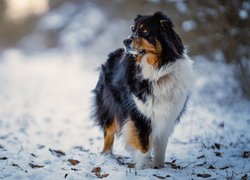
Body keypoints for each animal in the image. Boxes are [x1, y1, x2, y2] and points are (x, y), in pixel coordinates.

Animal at [92, 11, 193, 169]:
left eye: (145, 32)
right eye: (132, 29)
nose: (125, 41)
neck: (157, 72)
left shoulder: (168, 117)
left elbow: (161, 147)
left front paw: (158, 168)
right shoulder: (139, 114)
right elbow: (144, 145)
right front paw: (143, 168)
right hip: (109, 104)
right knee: (108, 130)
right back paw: (106, 155)